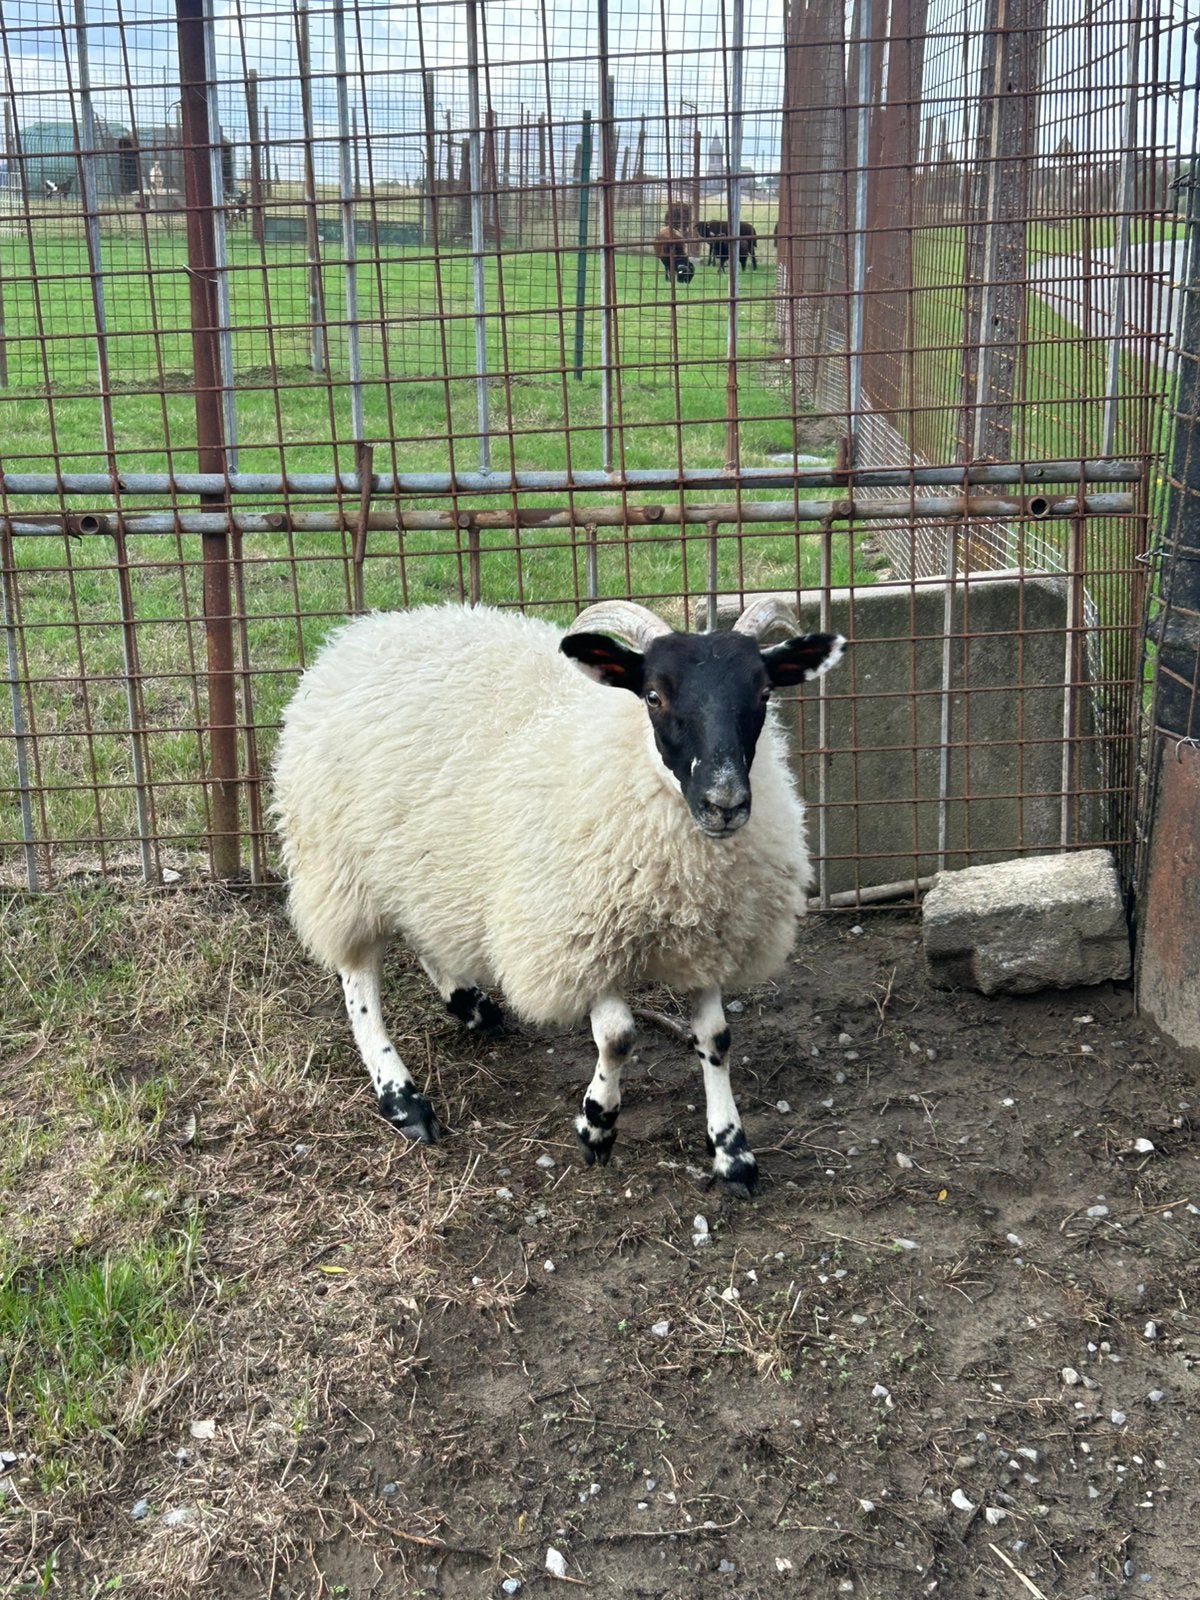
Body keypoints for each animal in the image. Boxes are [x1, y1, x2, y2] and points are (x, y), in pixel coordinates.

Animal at [271, 599, 845, 1193]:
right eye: (654, 696)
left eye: (764, 692)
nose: (724, 803)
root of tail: (366, 629)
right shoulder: (577, 936)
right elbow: (617, 1037)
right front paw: (597, 1124)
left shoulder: (709, 937)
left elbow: (716, 1039)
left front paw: (732, 1152)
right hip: (339, 864)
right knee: (358, 977)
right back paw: (402, 1097)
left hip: (424, 862)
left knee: (429, 929)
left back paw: (471, 1006)